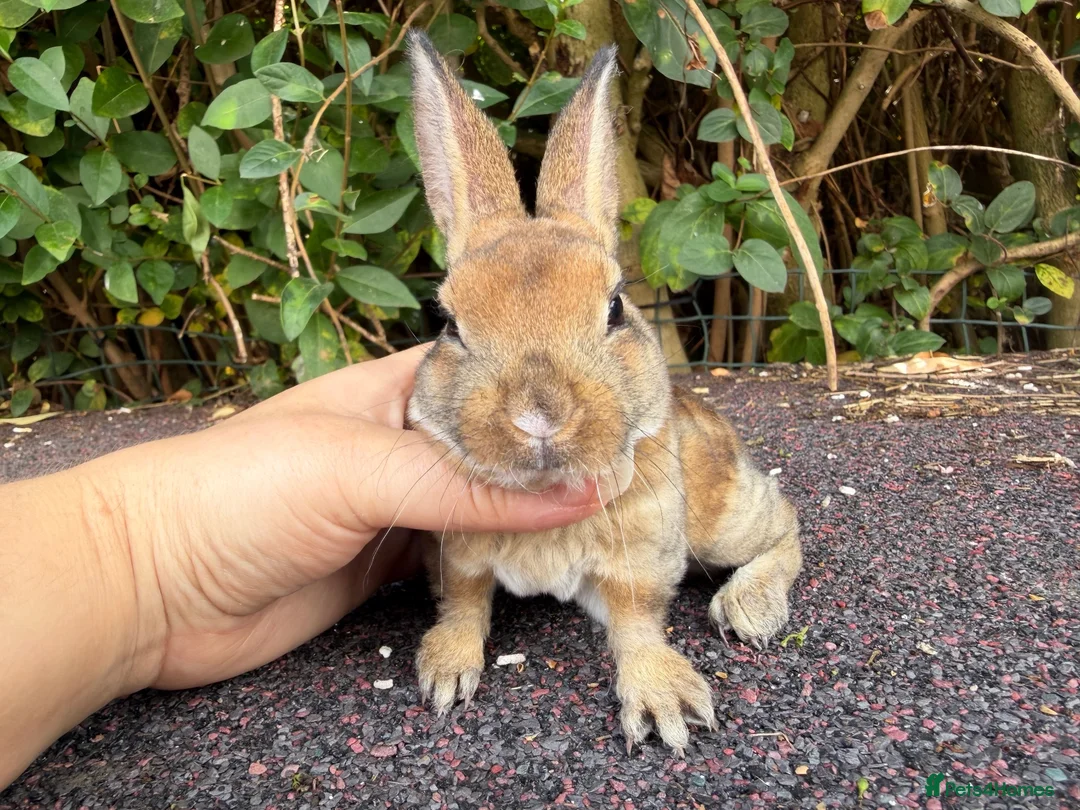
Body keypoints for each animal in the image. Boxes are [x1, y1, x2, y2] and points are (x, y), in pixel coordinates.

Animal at [404, 30, 802, 754]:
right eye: (447, 323)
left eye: (616, 308)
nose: (538, 414)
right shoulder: (457, 554)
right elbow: (464, 602)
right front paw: (445, 675)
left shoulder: (637, 563)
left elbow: (638, 621)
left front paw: (669, 707)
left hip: (722, 520)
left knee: (785, 525)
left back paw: (747, 608)